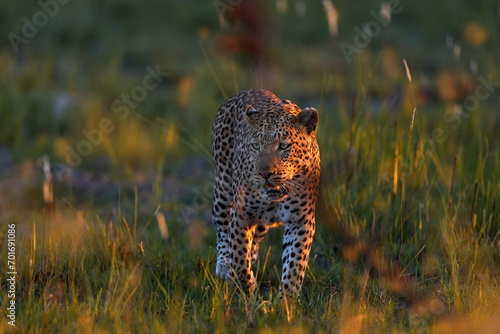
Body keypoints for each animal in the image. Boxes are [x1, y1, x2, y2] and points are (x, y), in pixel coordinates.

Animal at [211, 88, 320, 298]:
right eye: (255, 146)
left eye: (284, 146)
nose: (264, 174)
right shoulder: (241, 214)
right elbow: (239, 255)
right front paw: (246, 287)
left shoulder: (301, 221)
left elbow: (294, 263)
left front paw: (287, 300)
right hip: (222, 188)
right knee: (222, 231)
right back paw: (224, 265)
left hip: (262, 222)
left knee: (253, 241)